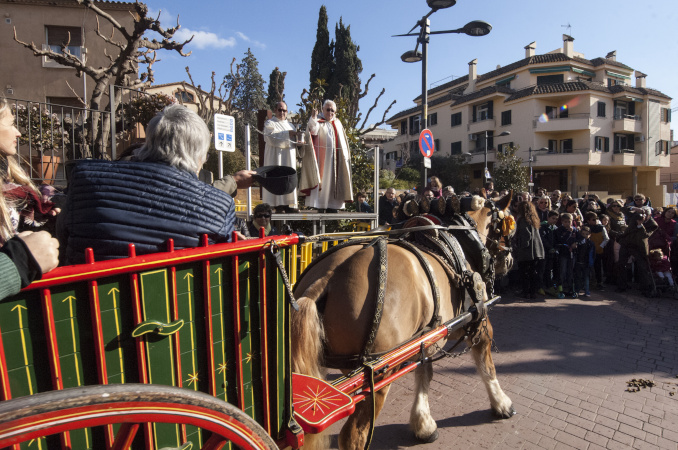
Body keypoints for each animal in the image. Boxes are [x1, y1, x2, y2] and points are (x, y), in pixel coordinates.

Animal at [290, 194, 516, 450]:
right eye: (508, 227)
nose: (509, 261)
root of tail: (326, 277)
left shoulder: (425, 335)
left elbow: (424, 373)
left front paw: (423, 424)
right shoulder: (478, 321)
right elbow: (486, 365)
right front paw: (502, 404)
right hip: (377, 376)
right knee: (353, 435)